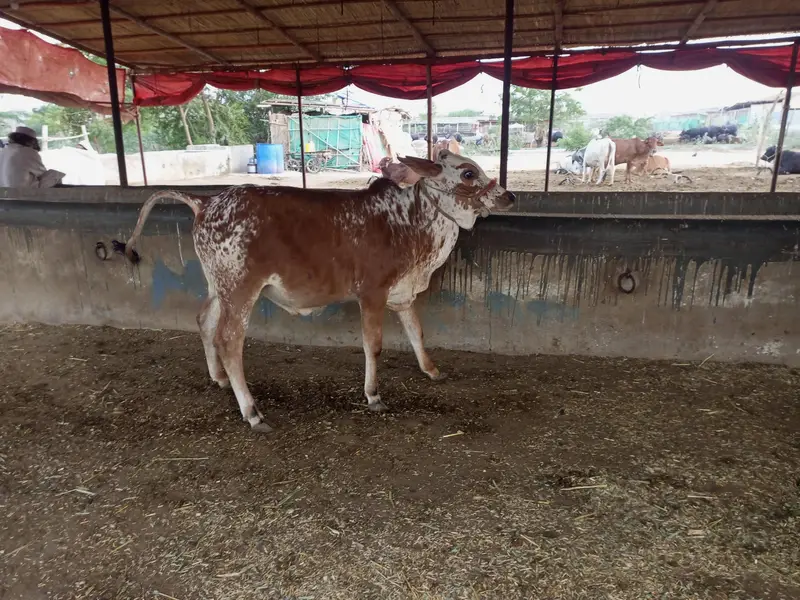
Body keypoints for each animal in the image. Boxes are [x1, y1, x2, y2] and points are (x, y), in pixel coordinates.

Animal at [120, 150, 515, 432]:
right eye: (468, 173)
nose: (509, 196)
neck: (409, 222)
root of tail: (208, 202)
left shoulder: (403, 293)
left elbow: (416, 332)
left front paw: (431, 370)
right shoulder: (372, 292)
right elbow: (373, 344)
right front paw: (373, 395)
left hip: (218, 286)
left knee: (203, 321)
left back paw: (219, 379)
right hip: (240, 287)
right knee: (228, 340)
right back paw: (252, 412)